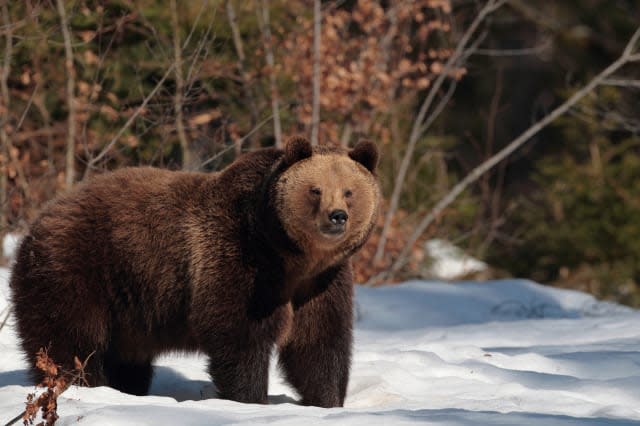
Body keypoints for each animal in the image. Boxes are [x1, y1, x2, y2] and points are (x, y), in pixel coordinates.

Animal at [10, 135, 380, 408]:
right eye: (315, 189)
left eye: (349, 191)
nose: (337, 216)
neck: (289, 255)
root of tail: (39, 219)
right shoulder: (240, 260)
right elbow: (238, 333)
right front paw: (250, 398)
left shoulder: (320, 283)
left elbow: (319, 343)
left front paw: (328, 401)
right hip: (77, 271)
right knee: (71, 342)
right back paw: (84, 385)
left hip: (127, 309)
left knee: (125, 360)